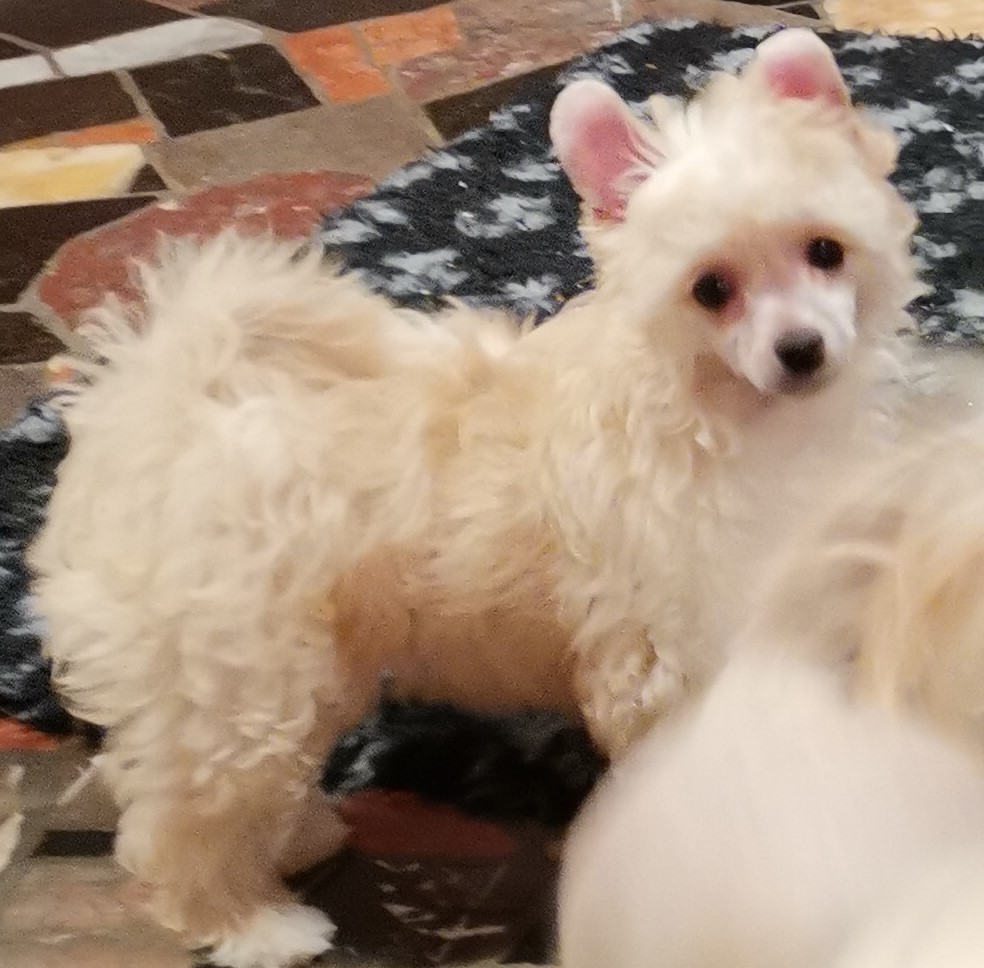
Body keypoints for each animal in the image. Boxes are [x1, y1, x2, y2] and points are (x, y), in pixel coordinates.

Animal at [28, 28, 921, 968]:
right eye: (711, 289)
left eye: (825, 251)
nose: (801, 349)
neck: (733, 412)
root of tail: (158, 391)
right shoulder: (665, 651)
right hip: (236, 675)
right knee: (181, 821)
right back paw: (255, 923)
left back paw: (301, 838)